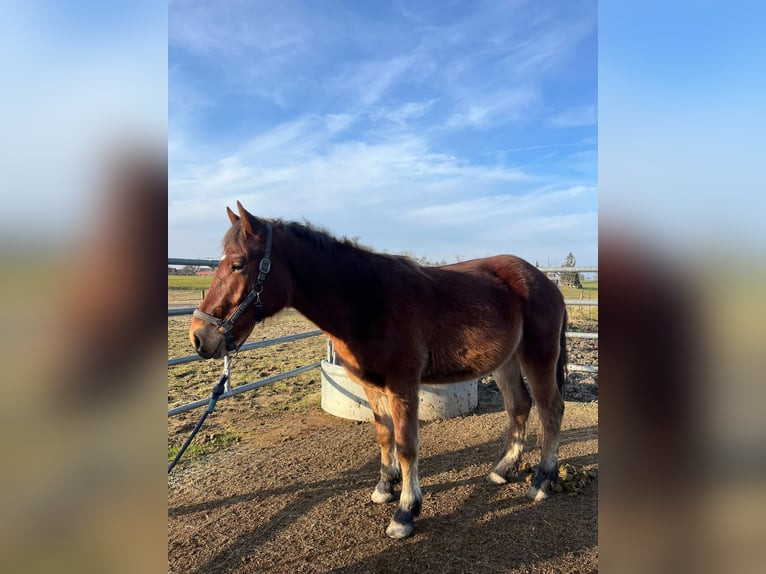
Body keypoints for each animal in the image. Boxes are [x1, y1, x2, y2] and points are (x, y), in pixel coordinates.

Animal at [189, 201, 568, 540]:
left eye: (238, 264)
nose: (199, 336)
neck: (369, 300)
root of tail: (544, 281)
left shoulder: (404, 384)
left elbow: (406, 444)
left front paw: (406, 512)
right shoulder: (371, 385)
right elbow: (385, 436)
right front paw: (386, 487)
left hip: (538, 356)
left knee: (550, 409)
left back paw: (542, 480)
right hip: (507, 361)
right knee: (519, 406)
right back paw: (503, 470)